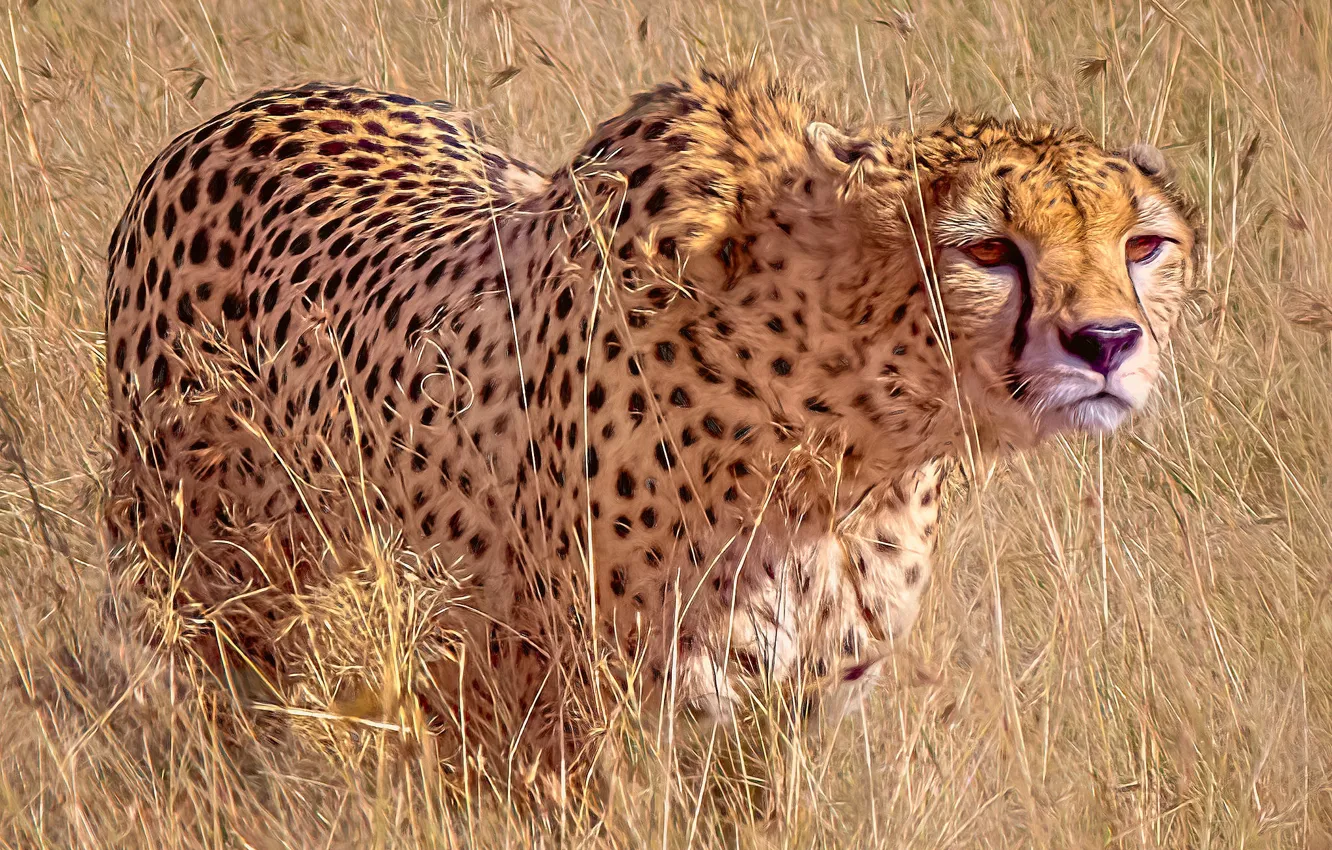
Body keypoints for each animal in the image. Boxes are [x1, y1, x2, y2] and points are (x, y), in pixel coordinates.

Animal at [102, 67, 1196, 778]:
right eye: (990, 251)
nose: (1107, 342)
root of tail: (242, 109)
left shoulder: (775, 728)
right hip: (220, 593)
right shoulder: (580, 725)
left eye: (1144, 245)